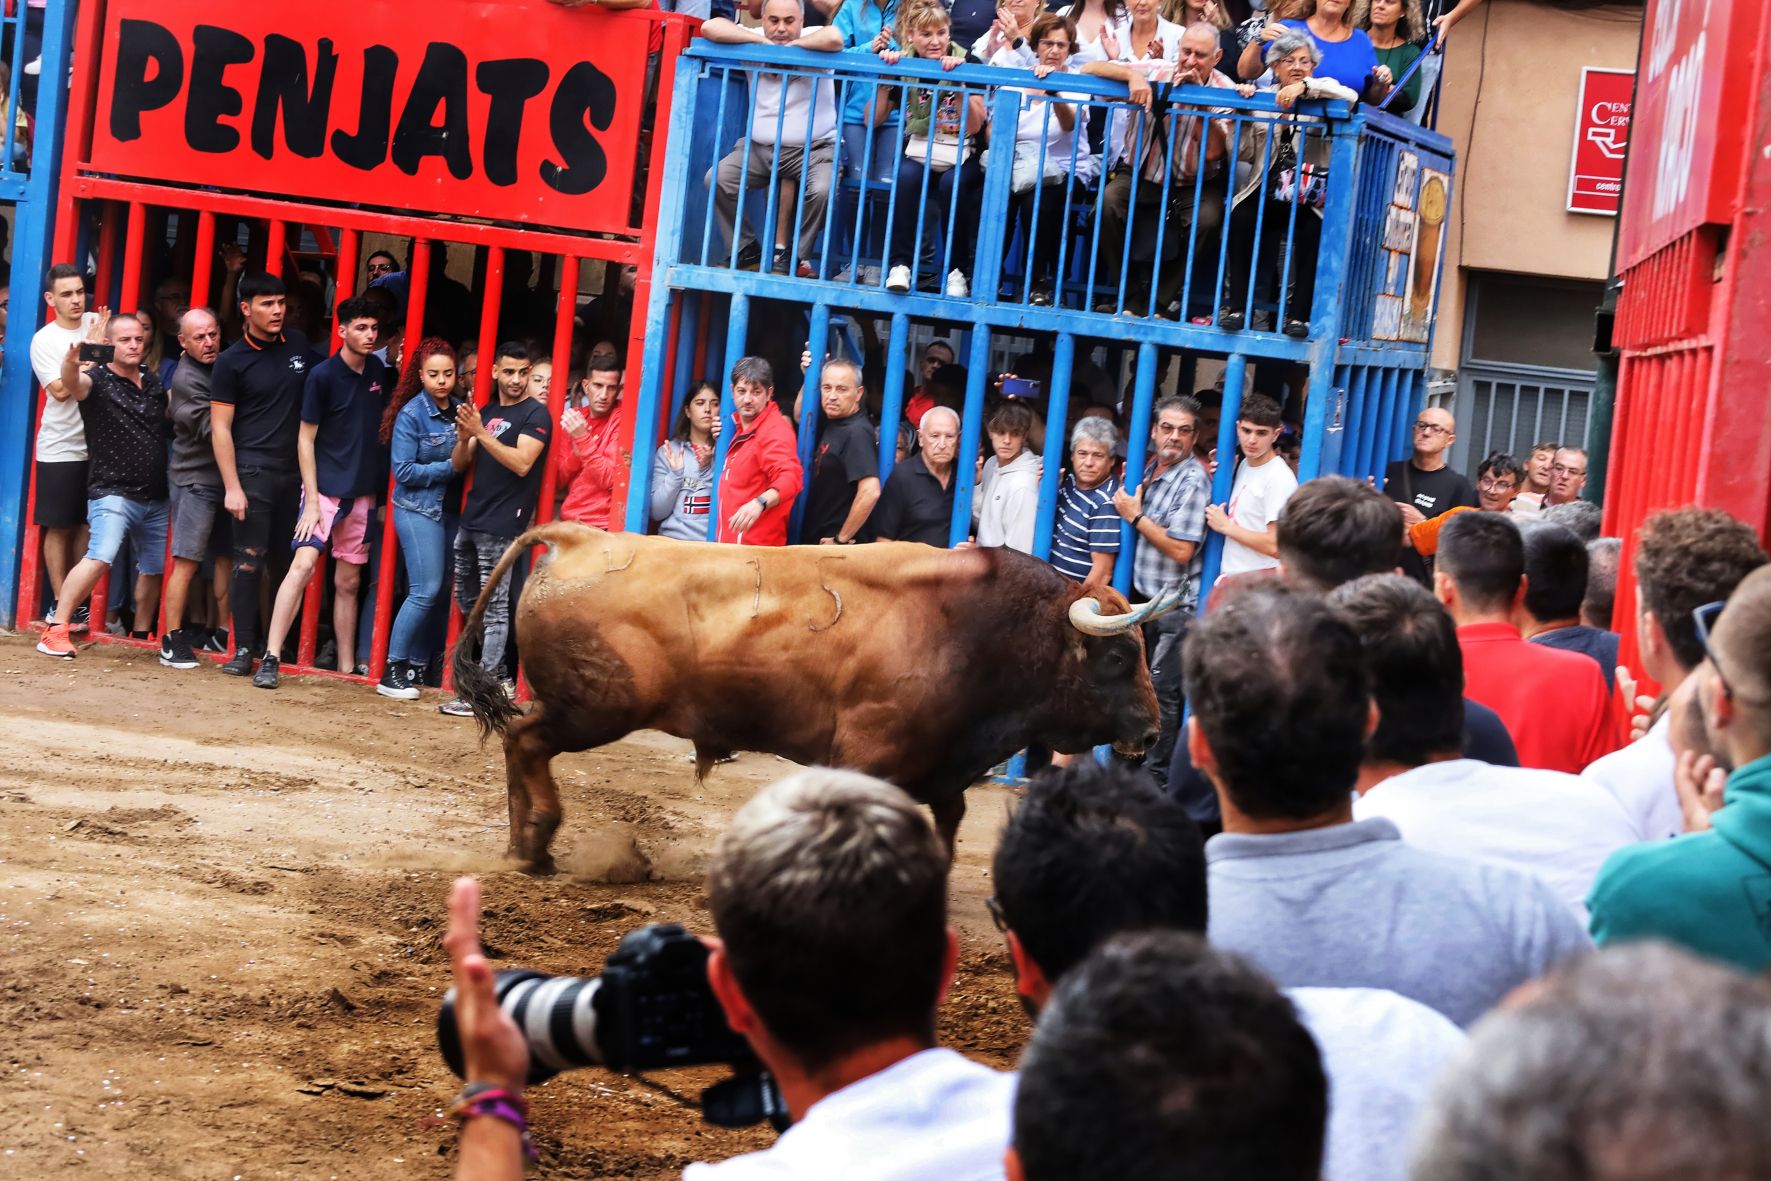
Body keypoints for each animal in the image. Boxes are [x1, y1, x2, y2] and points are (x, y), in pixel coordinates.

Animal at [453, 520, 1175, 874]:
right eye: (1117, 657)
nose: (1152, 732)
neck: (972, 627)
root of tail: (579, 540)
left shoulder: (941, 770)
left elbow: (948, 821)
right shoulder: (865, 759)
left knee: (518, 741)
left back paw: (523, 845)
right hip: (595, 709)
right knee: (527, 741)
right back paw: (538, 840)